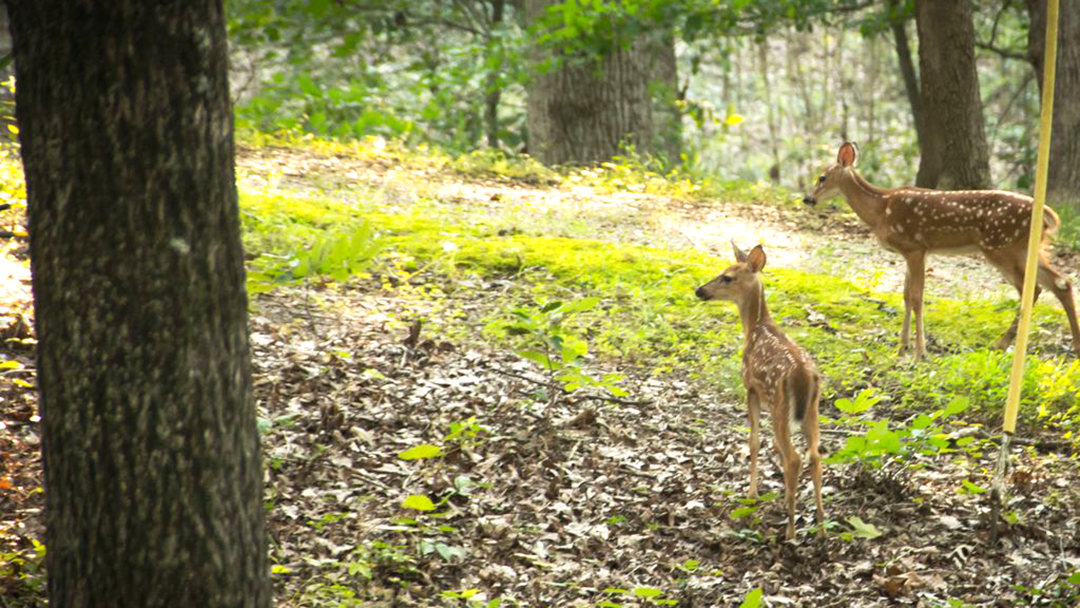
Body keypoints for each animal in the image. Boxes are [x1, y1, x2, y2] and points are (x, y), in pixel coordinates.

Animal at [695, 241, 820, 537]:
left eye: (727, 277)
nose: (699, 290)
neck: (755, 327)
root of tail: (804, 375)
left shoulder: (750, 387)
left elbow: (753, 440)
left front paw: (751, 493)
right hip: (812, 409)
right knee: (815, 456)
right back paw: (821, 526)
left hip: (779, 406)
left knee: (794, 457)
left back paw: (790, 531)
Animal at [803, 142, 1080, 358]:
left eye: (822, 177)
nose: (808, 199)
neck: (880, 208)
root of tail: (1047, 214)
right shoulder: (913, 251)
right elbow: (906, 295)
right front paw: (901, 348)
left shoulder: (915, 247)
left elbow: (916, 297)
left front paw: (920, 352)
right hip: (1025, 249)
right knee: (1060, 283)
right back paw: (1073, 346)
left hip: (1002, 246)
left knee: (1032, 288)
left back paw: (1001, 344)